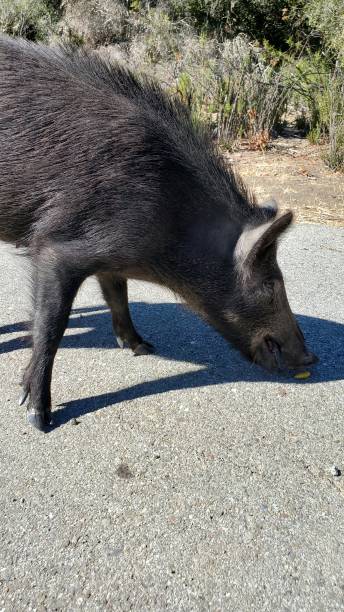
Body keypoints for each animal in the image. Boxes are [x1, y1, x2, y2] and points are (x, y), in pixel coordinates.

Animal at [0, 37, 318, 430]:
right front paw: (39, 418)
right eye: (271, 283)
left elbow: (117, 296)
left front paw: (143, 347)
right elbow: (51, 325)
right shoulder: (56, 248)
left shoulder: (108, 258)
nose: (312, 358)